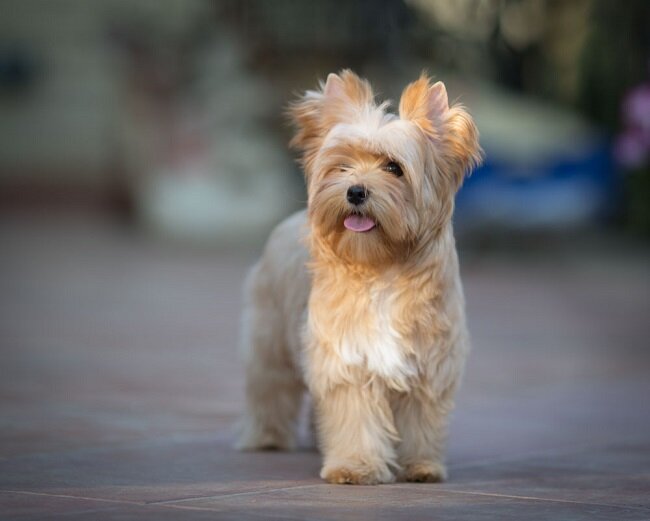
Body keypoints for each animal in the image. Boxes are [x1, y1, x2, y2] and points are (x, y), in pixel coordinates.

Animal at [235, 69, 478, 484]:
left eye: (394, 168)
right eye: (342, 166)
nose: (355, 191)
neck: (382, 269)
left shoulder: (429, 364)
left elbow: (421, 421)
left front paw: (421, 465)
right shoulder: (347, 359)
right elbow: (355, 416)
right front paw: (355, 465)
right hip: (270, 340)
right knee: (270, 386)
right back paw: (267, 437)